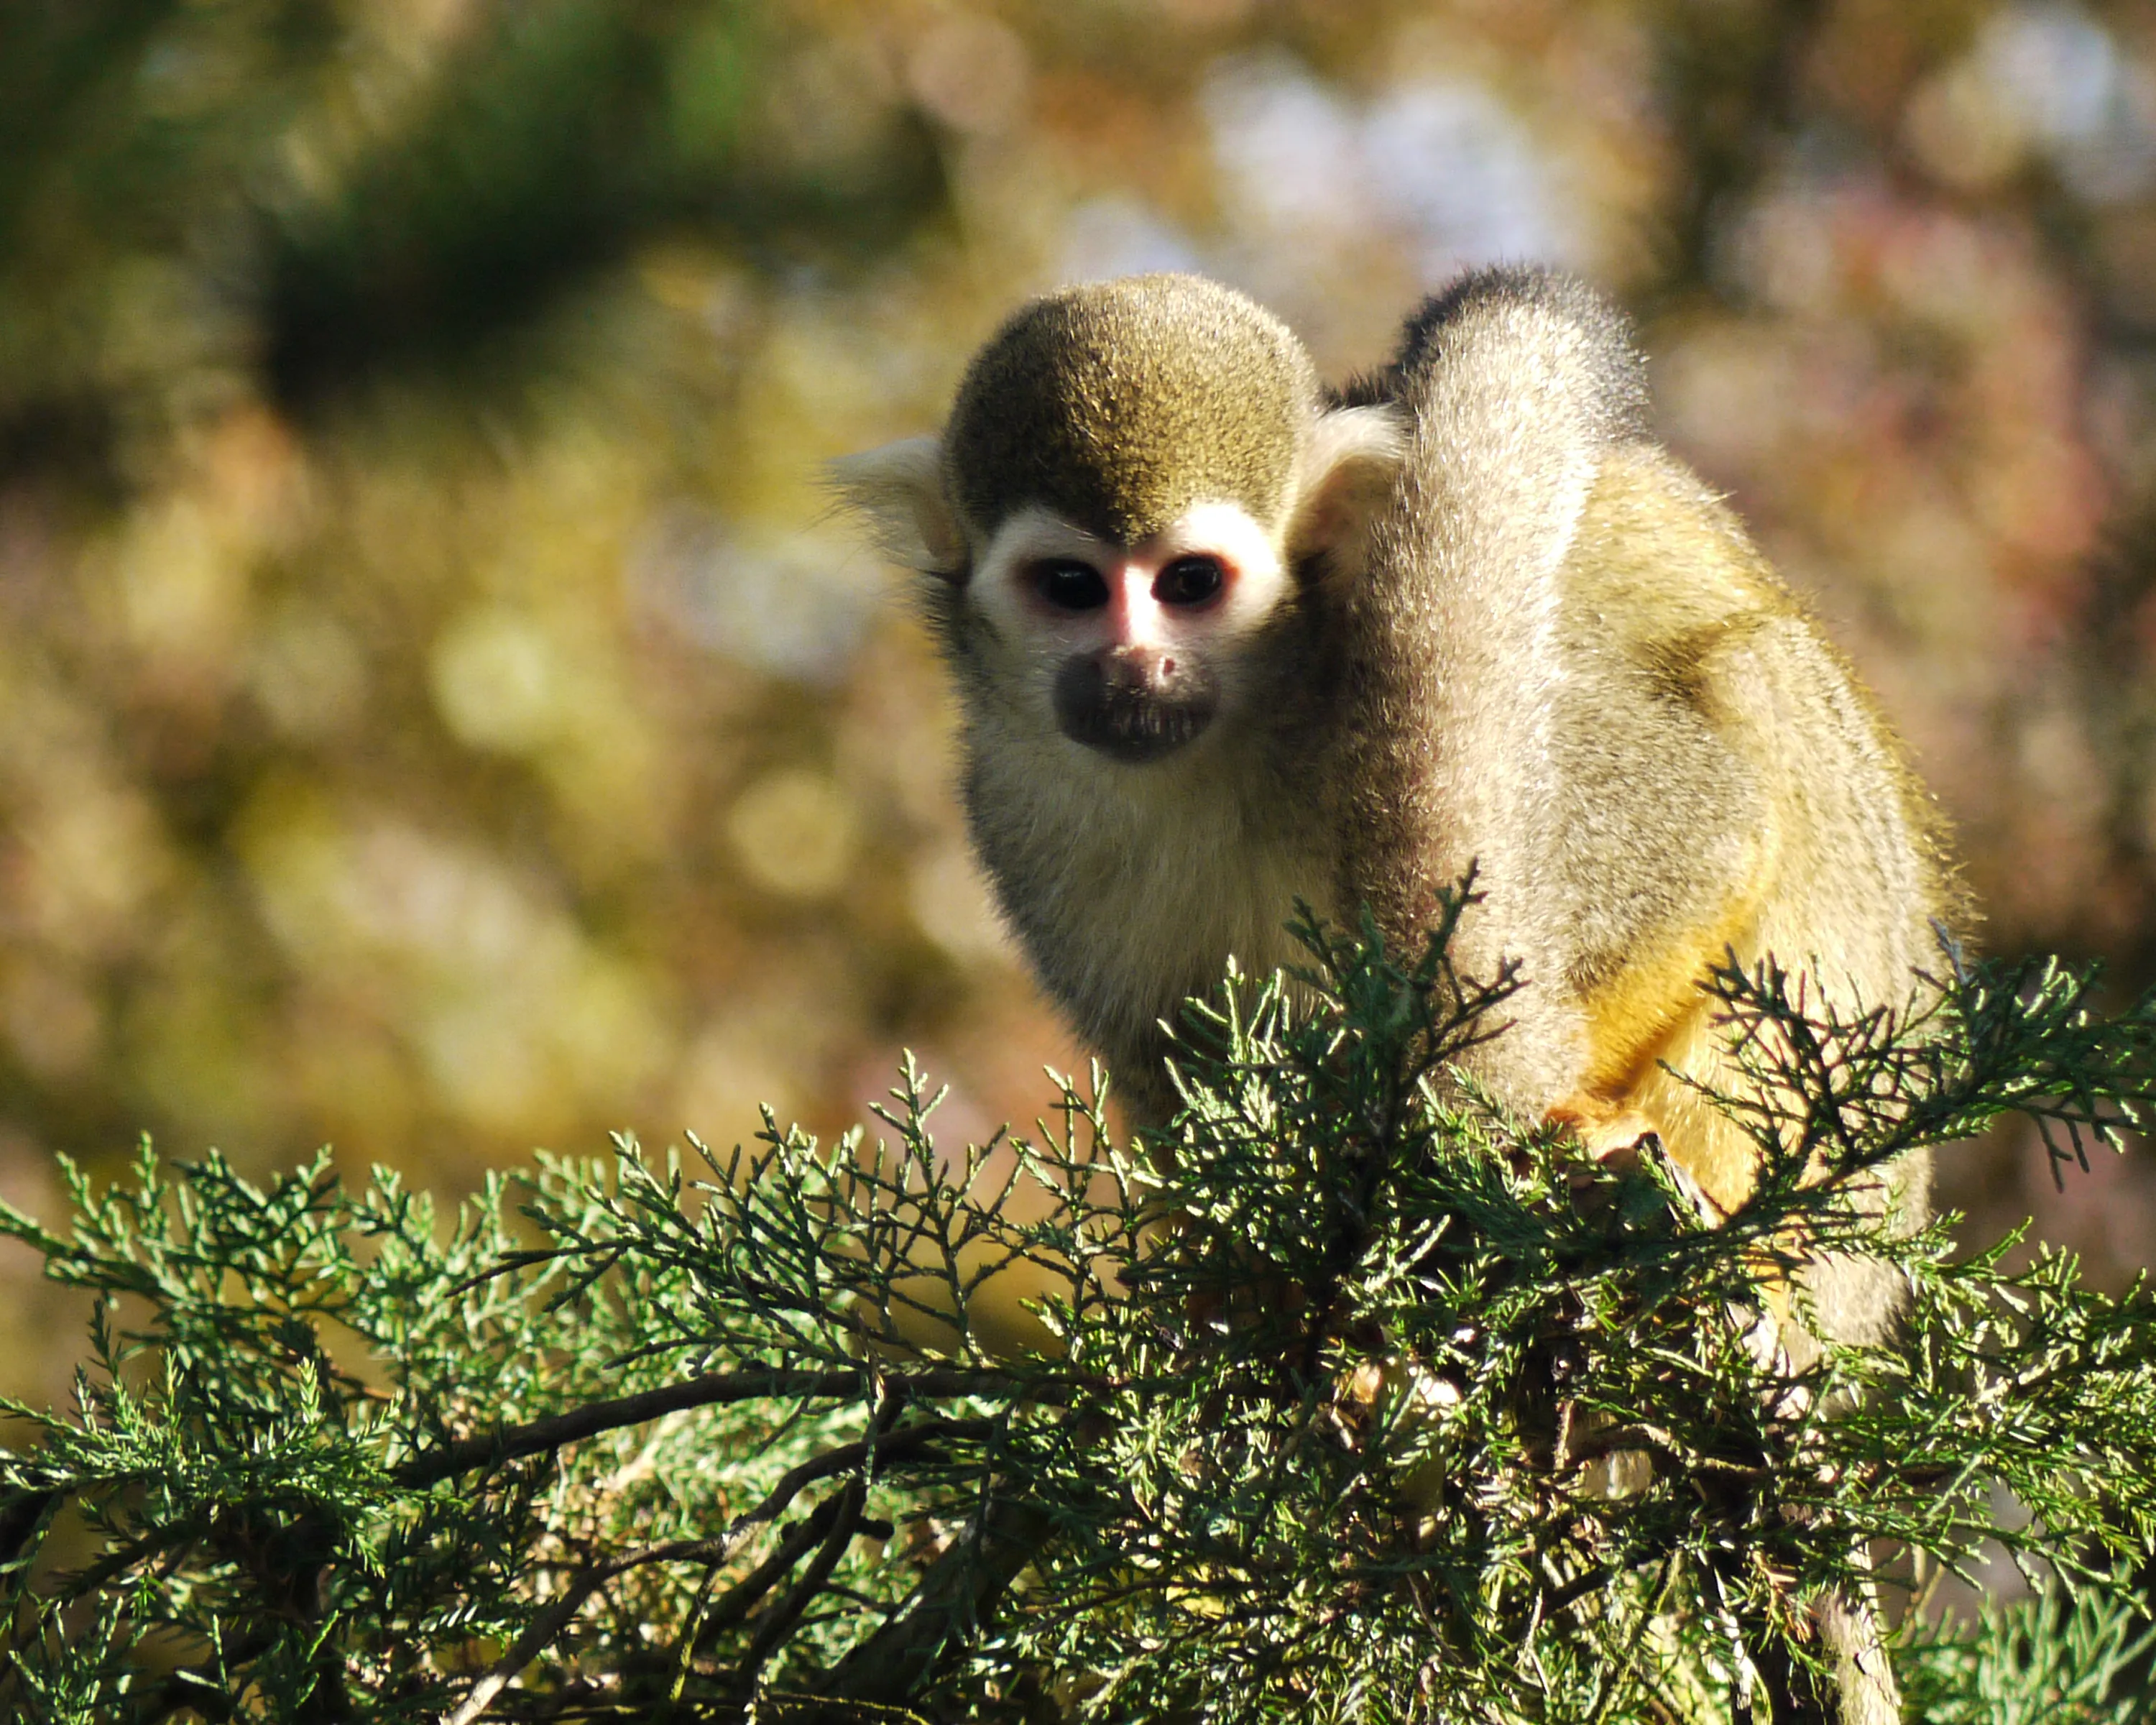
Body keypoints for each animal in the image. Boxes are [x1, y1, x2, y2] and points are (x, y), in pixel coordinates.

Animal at [835, 268, 1957, 1722]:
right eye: (1071, 587)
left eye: (1188, 585)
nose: (1132, 669)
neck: (1237, 736)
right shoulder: (1015, 813)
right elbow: (1167, 1059)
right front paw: (1239, 1299)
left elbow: (1703, 833)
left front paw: (1528, 1147)